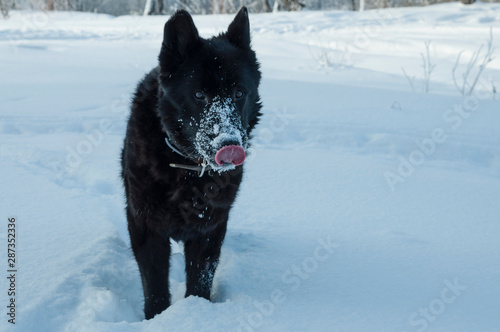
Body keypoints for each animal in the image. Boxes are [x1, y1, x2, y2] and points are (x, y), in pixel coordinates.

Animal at [121, 7, 262, 320]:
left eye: (239, 93)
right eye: (199, 94)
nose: (229, 143)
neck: (187, 169)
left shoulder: (209, 229)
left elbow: (200, 279)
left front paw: (197, 312)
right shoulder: (146, 227)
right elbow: (154, 285)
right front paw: (158, 319)